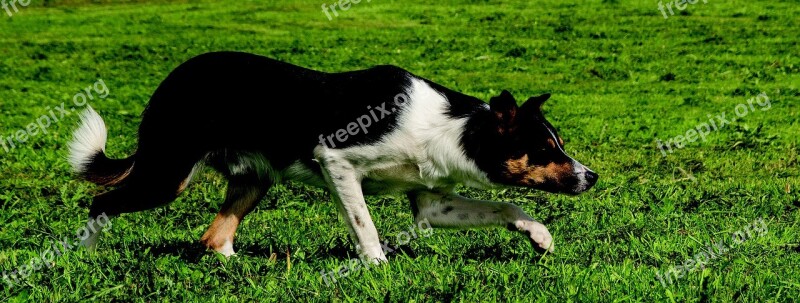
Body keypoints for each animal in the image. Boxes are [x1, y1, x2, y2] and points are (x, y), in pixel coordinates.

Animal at [69, 51, 596, 262]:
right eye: (544, 150)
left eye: (558, 145)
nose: (590, 178)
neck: (452, 127)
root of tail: (171, 81)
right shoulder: (336, 162)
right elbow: (367, 227)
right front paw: (377, 268)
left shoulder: (433, 204)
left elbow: (507, 204)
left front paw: (539, 235)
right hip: (167, 174)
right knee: (101, 203)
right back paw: (85, 257)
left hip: (254, 179)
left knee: (213, 238)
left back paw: (241, 265)